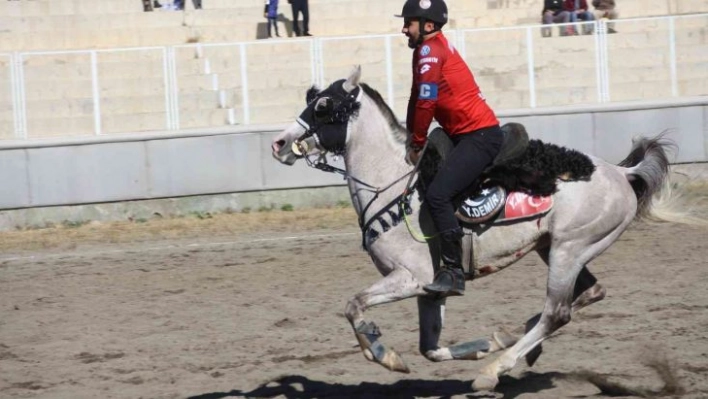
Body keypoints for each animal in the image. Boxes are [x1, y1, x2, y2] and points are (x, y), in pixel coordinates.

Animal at [270, 67, 680, 392]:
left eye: (323, 106)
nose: (280, 143)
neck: (394, 184)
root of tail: (620, 173)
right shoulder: (430, 292)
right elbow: (431, 349)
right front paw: (485, 344)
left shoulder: (411, 279)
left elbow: (354, 305)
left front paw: (385, 354)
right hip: (556, 248)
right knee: (590, 293)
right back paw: (515, 341)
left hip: (570, 250)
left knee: (557, 313)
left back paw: (494, 371)